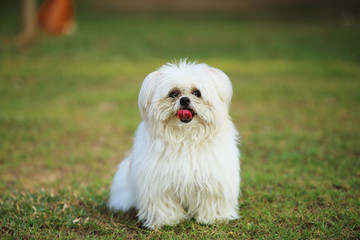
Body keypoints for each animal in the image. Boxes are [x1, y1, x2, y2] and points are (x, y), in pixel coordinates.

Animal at [108, 60, 240, 229]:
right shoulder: (158, 184)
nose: (184, 99)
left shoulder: (213, 180)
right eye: (173, 94)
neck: (185, 137)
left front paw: (214, 218)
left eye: (197, 93)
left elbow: (212, 201)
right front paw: (168, 221)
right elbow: (163, 204)